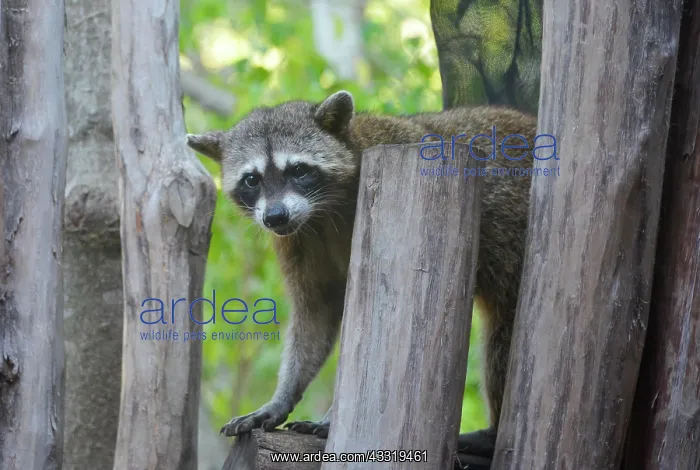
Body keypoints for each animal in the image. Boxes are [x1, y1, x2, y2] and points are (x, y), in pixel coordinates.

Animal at [187, 90, 537, 457]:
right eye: (252, 179)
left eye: (298, 170)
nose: (275, 216)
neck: (320, 212)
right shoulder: (298, 242)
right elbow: (315, 314)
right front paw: (283, 396)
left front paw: (332, 417)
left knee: (504, 337)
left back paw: (491, 434)